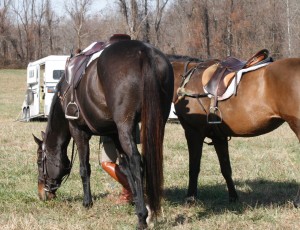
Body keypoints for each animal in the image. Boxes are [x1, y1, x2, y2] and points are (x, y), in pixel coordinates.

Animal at [32, 39, 173, 228]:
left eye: (40, 161)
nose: (42, 193)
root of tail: (144, 51)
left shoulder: (79, 132)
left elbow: (84, 168)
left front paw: (87, 202)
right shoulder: (114, 133)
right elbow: (125, 168)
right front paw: (136, 200)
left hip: (125, 126)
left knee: (137, 162)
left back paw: (142, 218)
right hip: (157, 122)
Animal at [171, 56, 300, 208]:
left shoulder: (193, 132)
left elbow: (194, 167)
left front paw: (190, 198)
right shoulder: (218, 137)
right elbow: (226, 168)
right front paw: (233, 197)